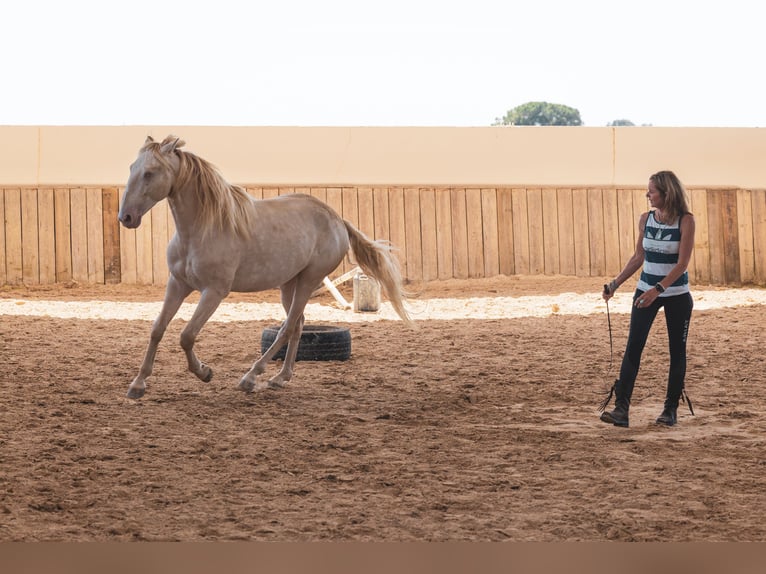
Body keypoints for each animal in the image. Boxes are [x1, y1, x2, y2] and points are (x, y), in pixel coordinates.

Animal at [118, 135, 411, 399]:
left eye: (150, 173)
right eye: (132, 168)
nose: (126, 217)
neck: (202, 229)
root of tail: (338, 220)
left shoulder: (214, 292)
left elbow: (187, 335)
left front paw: (204, 372)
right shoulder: (177, 283)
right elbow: (157, 329)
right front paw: (138, 384)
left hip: (308, 280)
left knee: (288, 326)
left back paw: (251, 377)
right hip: (289, 284)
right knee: (299, 324)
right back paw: (280, 378)